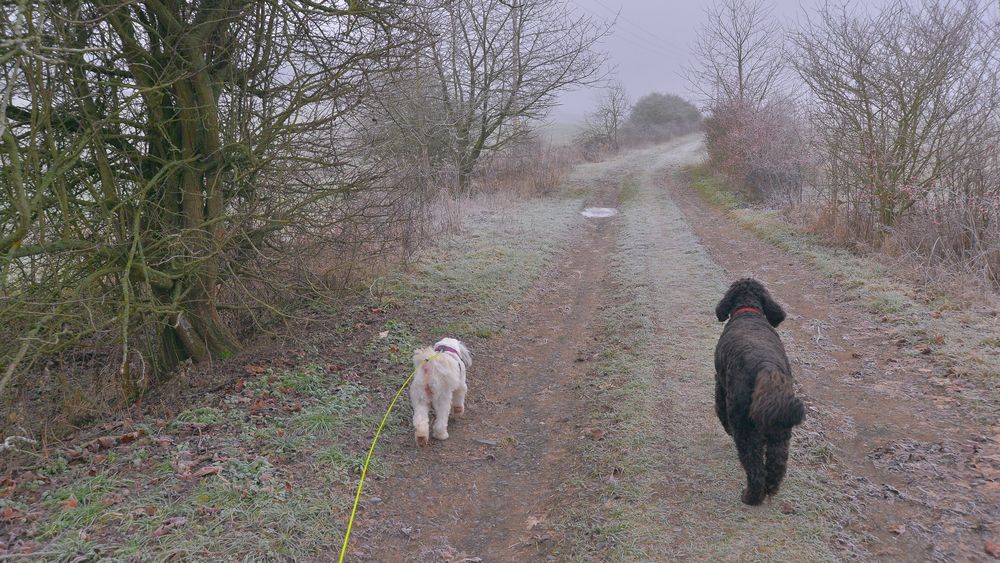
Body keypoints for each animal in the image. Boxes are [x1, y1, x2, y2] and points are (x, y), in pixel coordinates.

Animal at [720, 280, 804, 504]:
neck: (749, 311)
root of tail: (766, 368)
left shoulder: (719, 383)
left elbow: (719, 410)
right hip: (780, 431)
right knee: (776, 465)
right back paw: (771, 489)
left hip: (746, 428)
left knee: (755, 468)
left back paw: (751, 496)